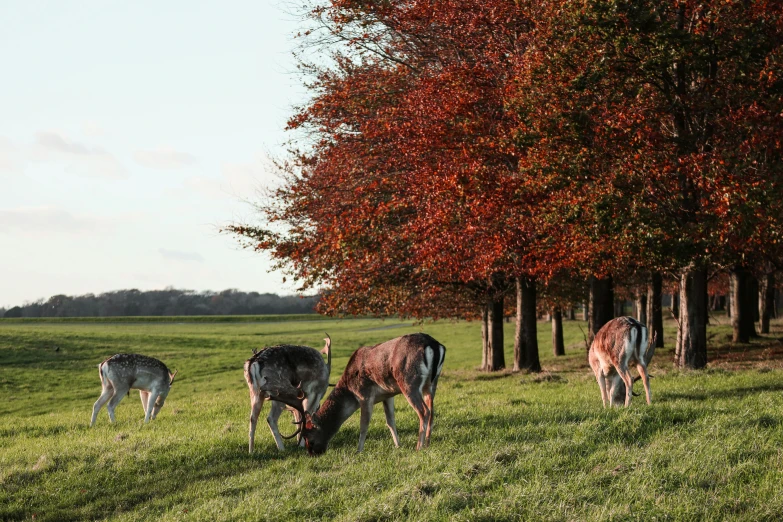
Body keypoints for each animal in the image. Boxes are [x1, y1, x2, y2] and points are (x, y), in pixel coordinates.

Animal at [284, 332, 448, 452]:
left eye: (309, 436)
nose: (312, 453)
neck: (349, 389)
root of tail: (434, 345)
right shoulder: (388, 395)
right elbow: (390, 422)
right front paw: (398, 445)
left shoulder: (364, 394)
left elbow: (363, 425)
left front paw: (358, 450)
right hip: (432, 383)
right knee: (432, 410)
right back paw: (427, 443)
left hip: (409, 382)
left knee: (424, 411)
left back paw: (418, 447)